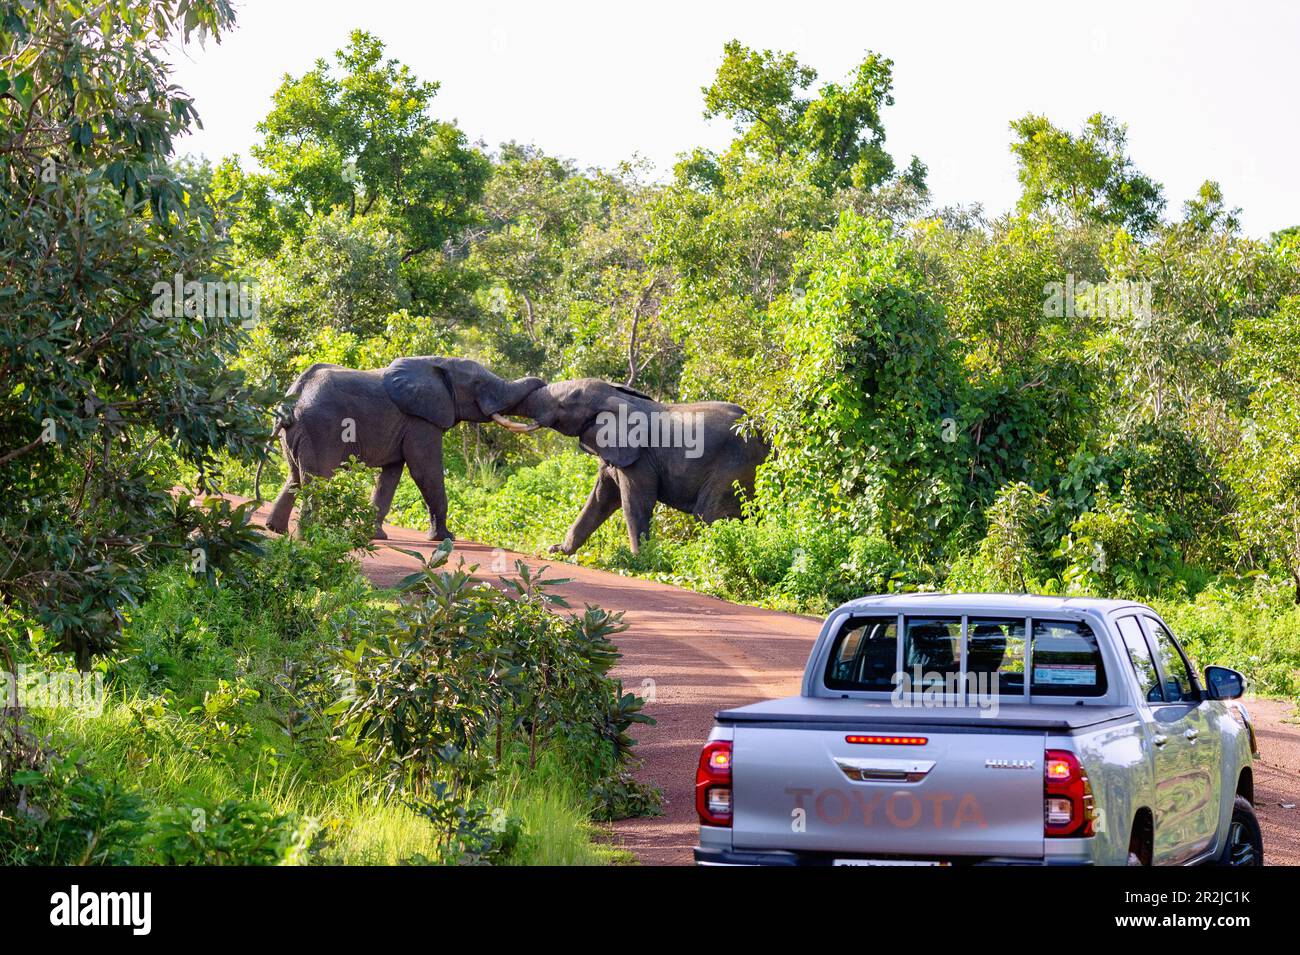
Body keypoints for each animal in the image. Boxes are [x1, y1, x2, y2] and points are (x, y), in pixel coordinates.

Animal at [261, 356, 540, 537]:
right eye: (479, 386)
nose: (542, 381)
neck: (439, 364)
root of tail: (290, 401)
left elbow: (392, 474)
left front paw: (375, 536)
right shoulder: (421, 422)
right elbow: (425, 472)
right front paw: (445, 538)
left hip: (298, 434)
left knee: (295, 477)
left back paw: (275, 530)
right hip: (321, 429)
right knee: (317, 480)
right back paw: (306, 537)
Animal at [504, 374, 769, 553]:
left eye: (564, 405)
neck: (620, 396)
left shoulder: (640, 457)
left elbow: (635, 504)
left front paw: (641, 560)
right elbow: (600, 499)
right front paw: (557, 550)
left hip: (734, 468)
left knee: (707, 515)